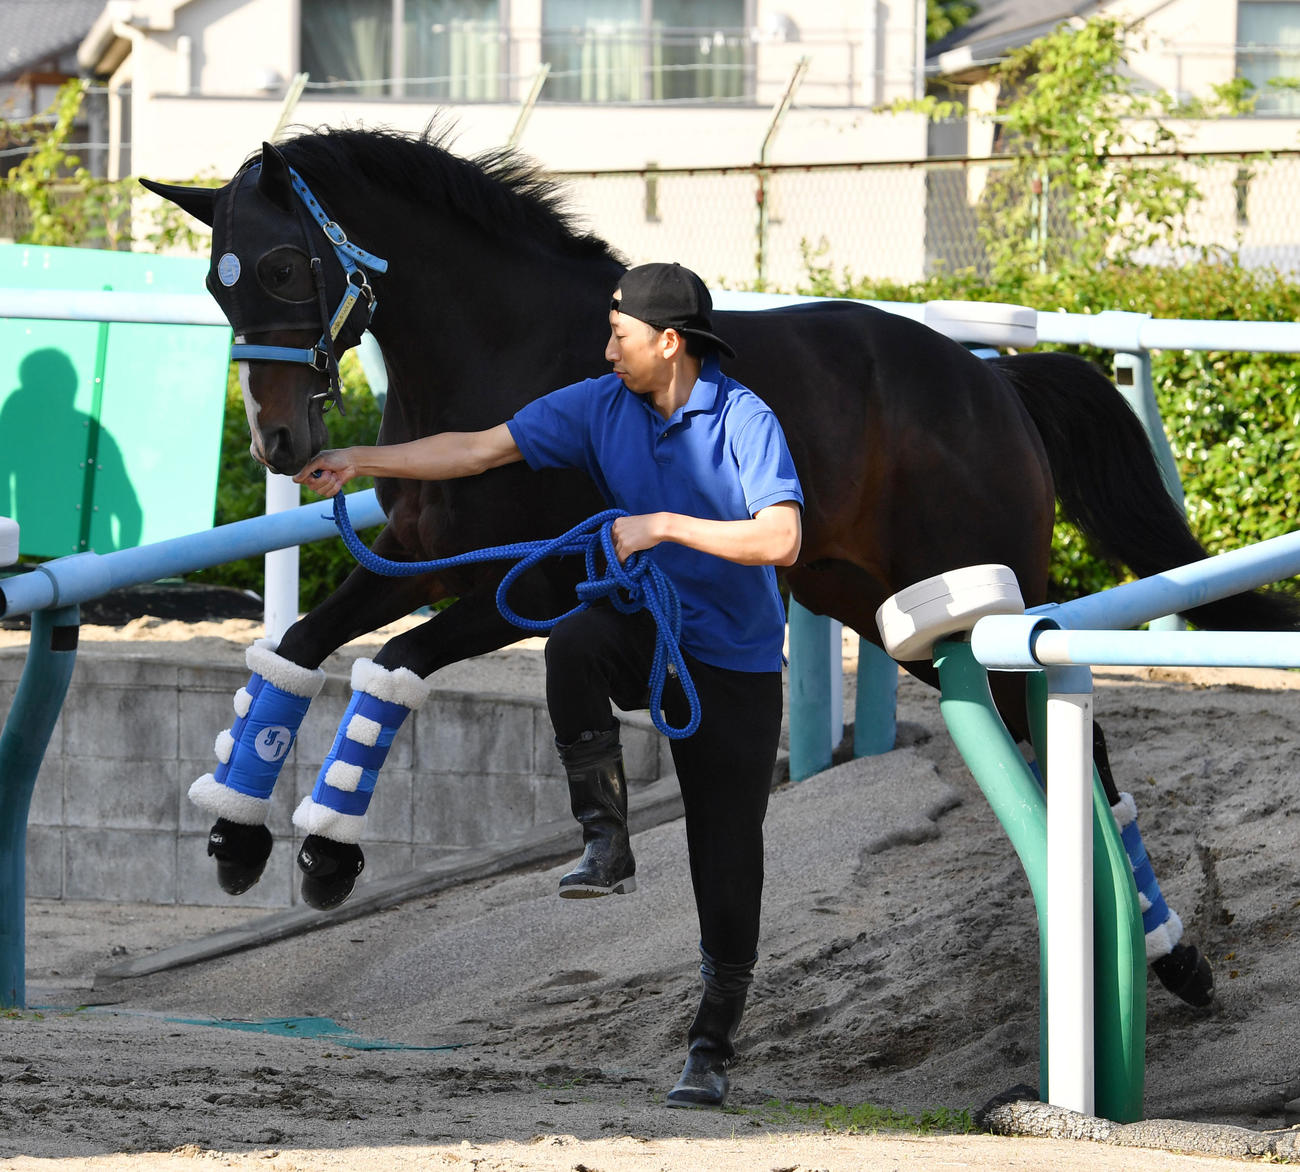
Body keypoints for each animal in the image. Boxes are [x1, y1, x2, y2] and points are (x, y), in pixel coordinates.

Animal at [141, 125, 1297, 1010]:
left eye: (283, 268)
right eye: (212, 283)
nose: (280, 444)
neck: (502, 359)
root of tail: (992, 382)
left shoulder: (529, 588)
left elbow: (388, 668)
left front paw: (328, 848)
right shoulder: (421, 563)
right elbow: (295, 649)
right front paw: (237, 830)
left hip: (983, 602)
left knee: (1083, 751)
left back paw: (1174, 957)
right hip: (889, 612)